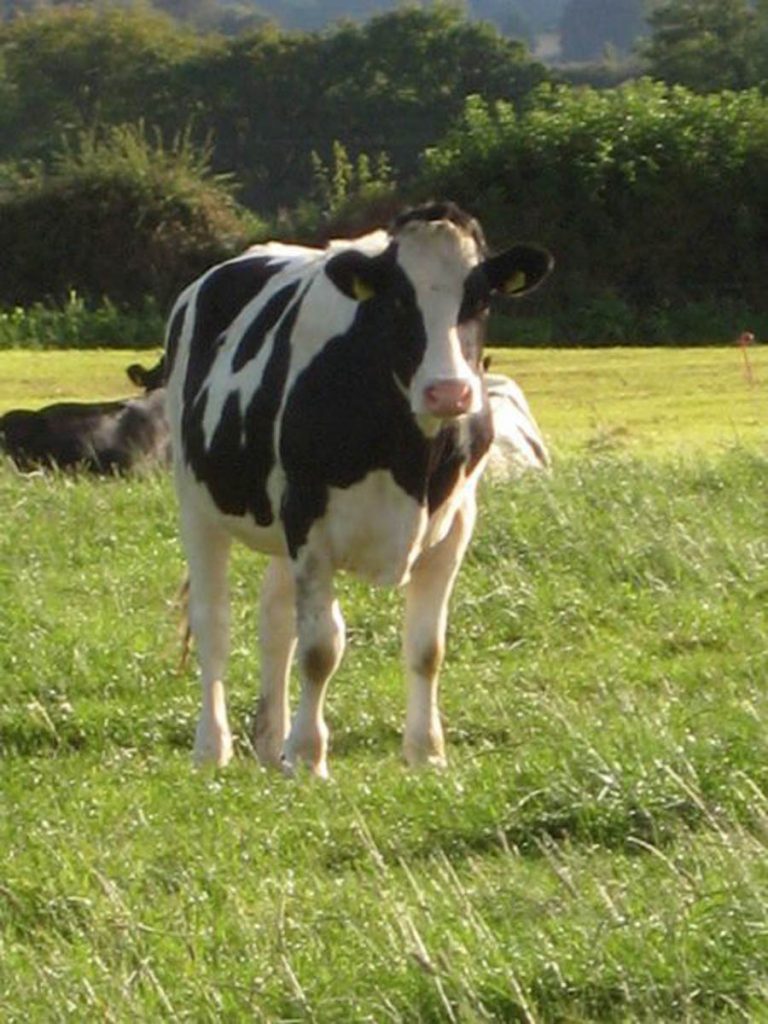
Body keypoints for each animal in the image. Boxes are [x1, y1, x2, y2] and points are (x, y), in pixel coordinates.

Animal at [166, 201, 553, 776]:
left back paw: (271, 744)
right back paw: (213, 748)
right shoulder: (308, 518)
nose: (449, 392)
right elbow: (321, 647)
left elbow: (426, 647)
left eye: (480, 297)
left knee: (274, 621)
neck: (411, 458)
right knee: (215, 623)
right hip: (197, 502)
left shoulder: (457, 523)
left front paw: (426, 754)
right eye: (398, 300)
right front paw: (309, 759)